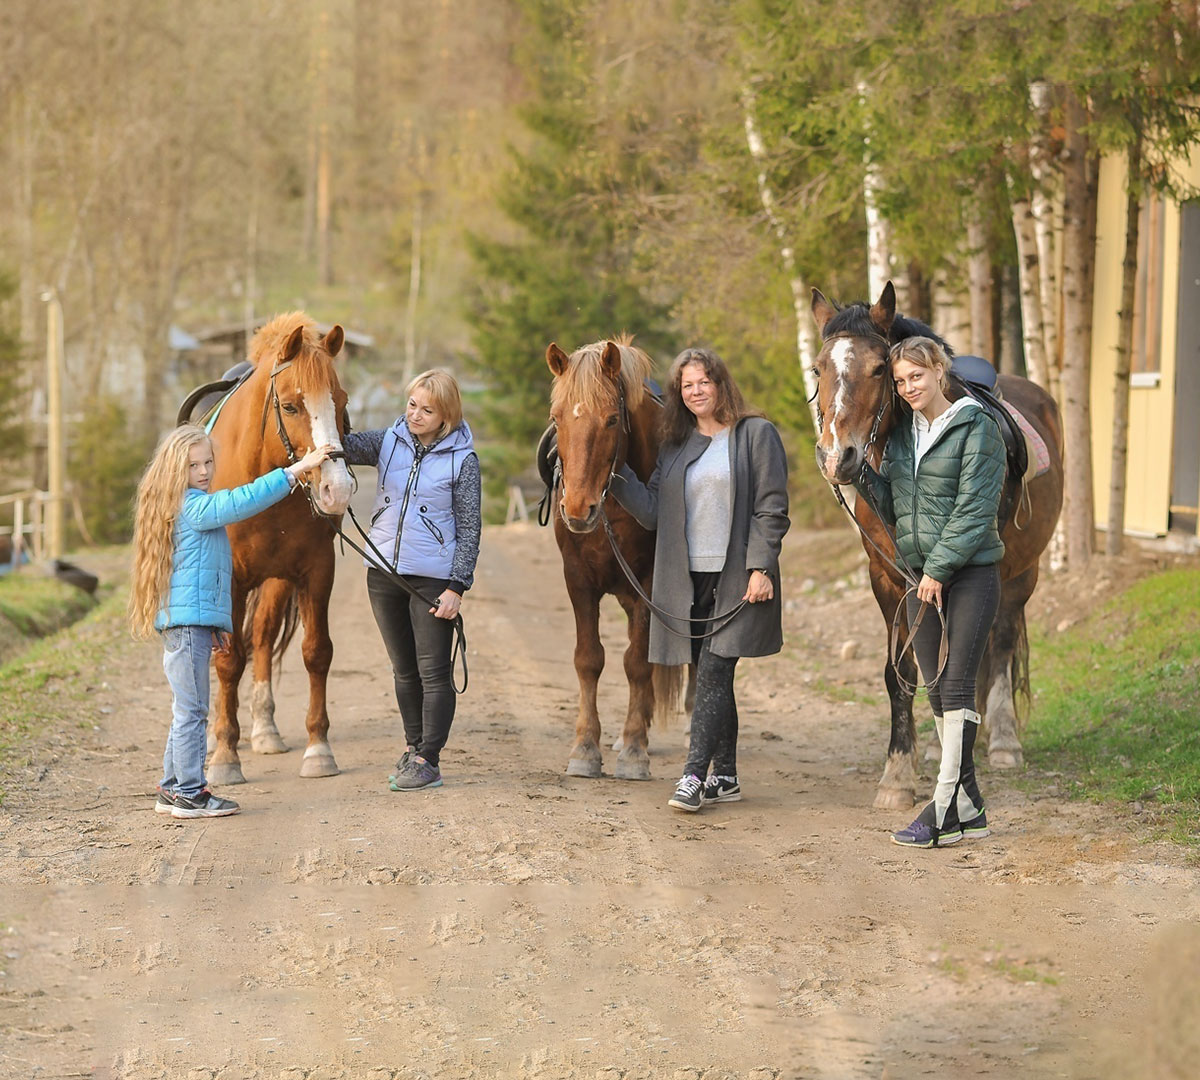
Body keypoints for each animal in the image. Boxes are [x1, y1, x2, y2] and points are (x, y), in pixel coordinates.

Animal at [199, 312, 350, 782]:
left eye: (342, 402)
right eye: (290, 406)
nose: (336, 489)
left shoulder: (317, 571)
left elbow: (317, 652)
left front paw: (319, 749)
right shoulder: (228, 580)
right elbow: (228, 661)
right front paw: (225, 756)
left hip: (276, 581)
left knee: (263, 637)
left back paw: (264, 727)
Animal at [811, 283, 1065, 806]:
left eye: (879, 368)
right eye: (818, 369)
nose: (837, 457)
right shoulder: (888, 579)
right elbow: (903, 672)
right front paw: (899, 772)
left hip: (1021, 574)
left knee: (1001, 643)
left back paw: (1003, 740)